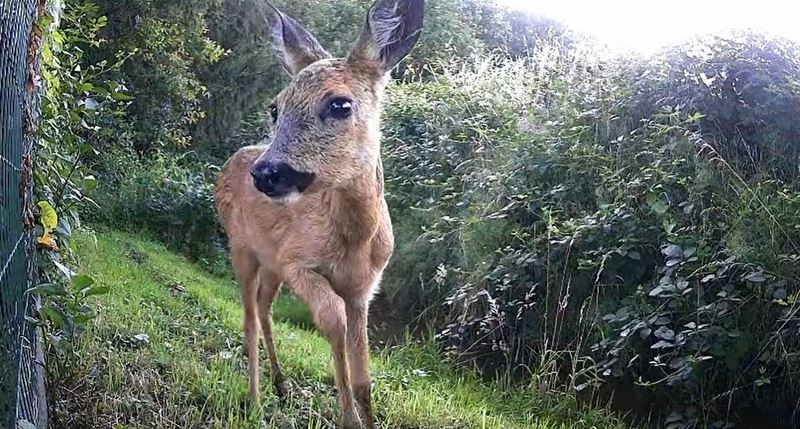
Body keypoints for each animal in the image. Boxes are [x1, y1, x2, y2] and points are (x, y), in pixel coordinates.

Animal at [212, 0, 424, 426]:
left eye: (340, 104)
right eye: (274, 108)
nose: (265, 172)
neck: (355, 243)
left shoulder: (363, 289)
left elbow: (364, 376)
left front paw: (363, 414)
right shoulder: (299, 263)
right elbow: (333, 322)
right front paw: (348, 419)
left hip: (270, 262)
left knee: (263, 307)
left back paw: (280, 386)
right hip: (241, 247)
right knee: (248, 317)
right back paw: (255, 399)